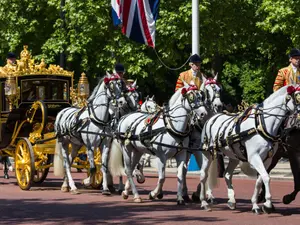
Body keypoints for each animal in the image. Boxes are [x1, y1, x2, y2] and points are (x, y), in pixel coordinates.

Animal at [198, 84, 300, 213]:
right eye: (298, 97)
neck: (261, 124)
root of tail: (211, 118)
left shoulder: (267, 159)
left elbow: (260, 180)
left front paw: (256, 204)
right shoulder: (254, 157)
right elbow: (266, 177)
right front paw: (267, 204)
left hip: (234, 156)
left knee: (227, 174)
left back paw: (232, 200)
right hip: (208, 154)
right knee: (203, 175)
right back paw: (204, 202)